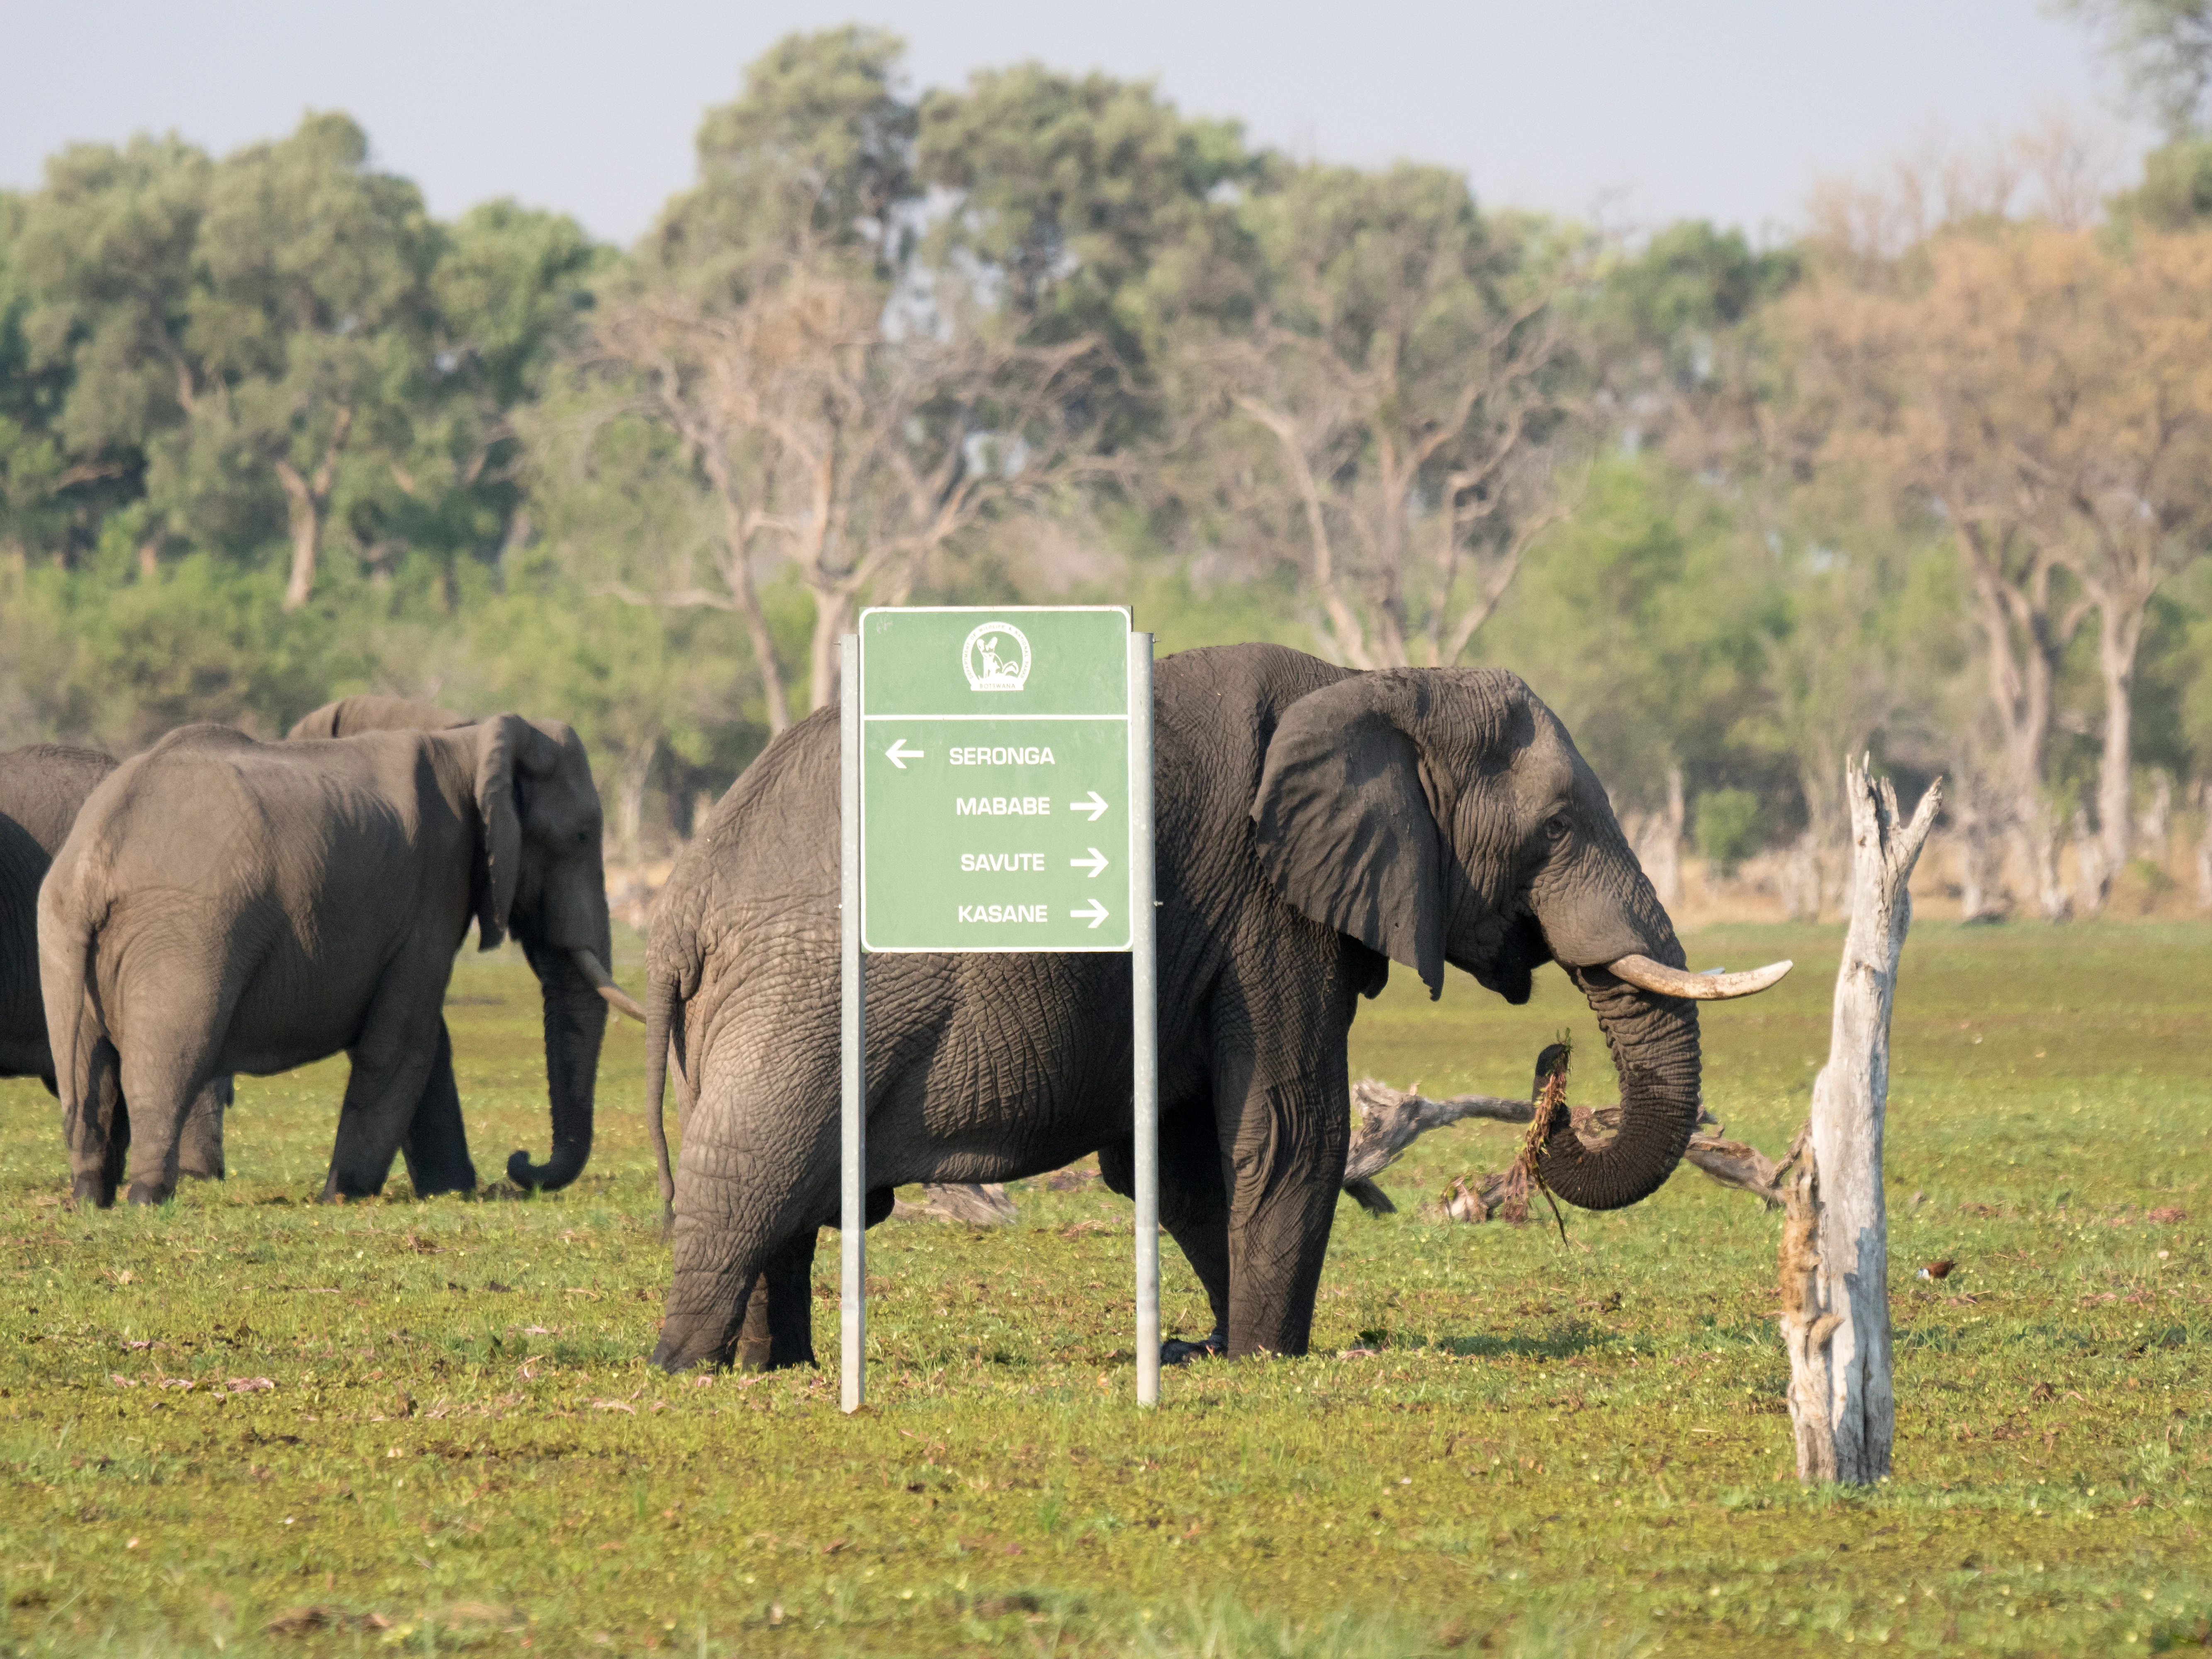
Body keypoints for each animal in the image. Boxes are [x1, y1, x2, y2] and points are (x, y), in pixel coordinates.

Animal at [38, 711, 620, 1206]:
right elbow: (404, 1041)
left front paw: (449, 1192)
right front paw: (344, 1196)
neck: (470, 743)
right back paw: (146, 1199)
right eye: (581, 836)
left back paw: (89, 1199)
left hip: (60, 935)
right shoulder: (431, 891)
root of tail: (95, 856)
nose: (521, 1163)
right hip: (184, 933)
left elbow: (426, 1041)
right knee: (168, 1063)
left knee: (89, 1070)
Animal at [643, 643, 1788, 1372]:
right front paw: (1266, 1357)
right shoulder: (1261, 908)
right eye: (1553, 827)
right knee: (753, 1173)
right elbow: (1287, 1128)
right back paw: (682, 1366)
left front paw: (1213, 1349)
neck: (1379, 683)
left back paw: (775, 1367)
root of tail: (681, 905)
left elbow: (1192, 1157)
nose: (1552, 1073)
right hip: (799, 988)